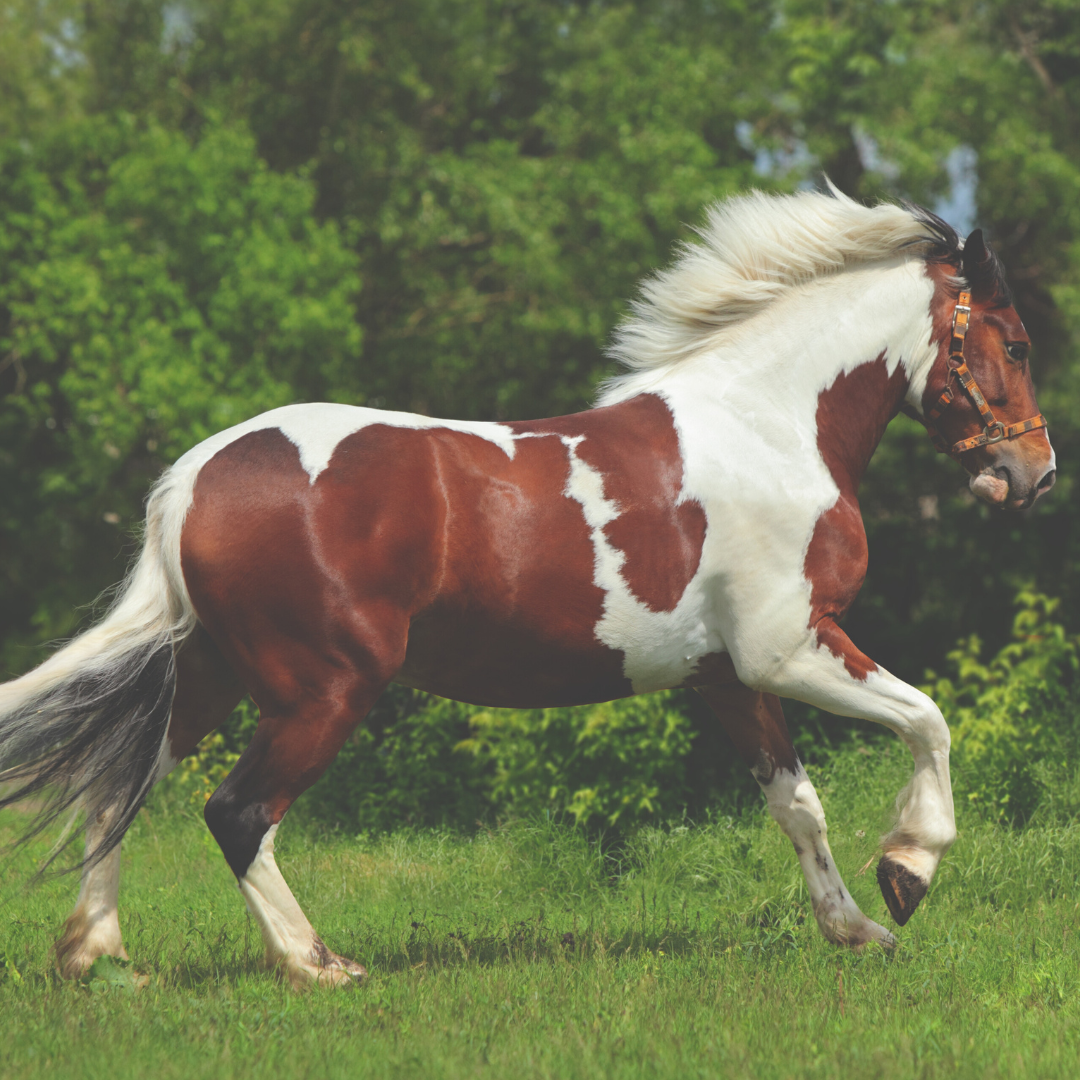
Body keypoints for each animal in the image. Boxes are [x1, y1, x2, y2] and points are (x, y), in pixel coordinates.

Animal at [0, 185, 1054, 989]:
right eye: (1014, 342)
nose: (1035, 476)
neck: (771, 426)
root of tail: (195, 478)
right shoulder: (788, 647)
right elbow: (927, 720)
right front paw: (908, 874)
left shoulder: (726, 676)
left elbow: (797, 804)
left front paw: (857, 930)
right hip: (323, 689)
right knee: (236, 814)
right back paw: (317, 965)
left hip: (211, 676)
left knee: (117, 790)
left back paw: (97, 958)